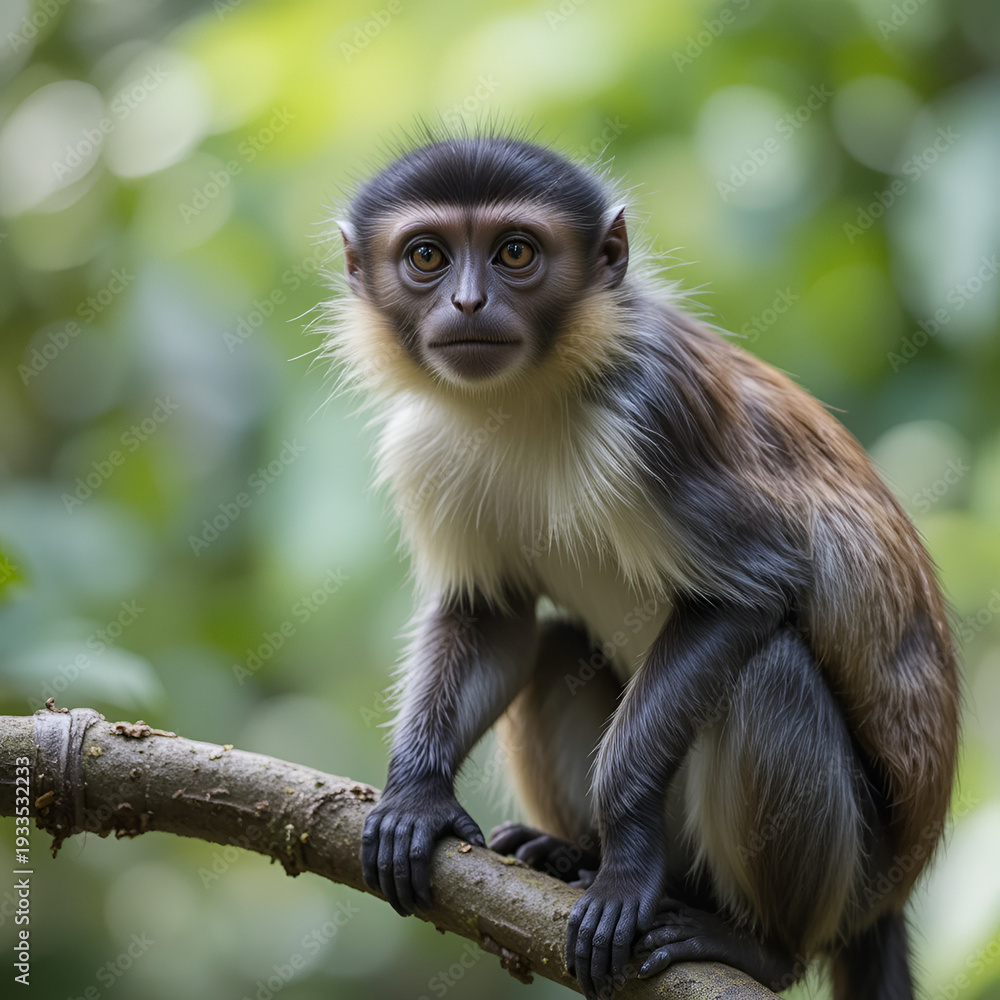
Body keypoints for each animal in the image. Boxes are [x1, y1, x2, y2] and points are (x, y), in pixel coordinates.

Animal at [324, 133, 959, 1000]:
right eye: (427, 255)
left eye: (515, 252)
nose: (468, 304)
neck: (526, 395)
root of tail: (887, 900)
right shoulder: (425, 443)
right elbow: (493, 614)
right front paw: (419, 794)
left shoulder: (652, 416)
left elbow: (753, 593)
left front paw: (624, 865)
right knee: (558, 647)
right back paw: (571, 852)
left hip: (854, 876)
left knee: (771, 674)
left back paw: (753, 944)